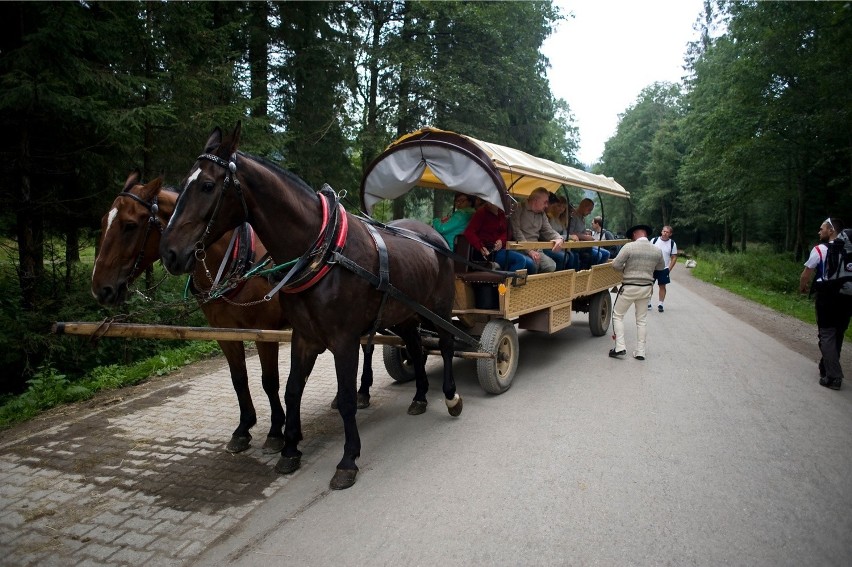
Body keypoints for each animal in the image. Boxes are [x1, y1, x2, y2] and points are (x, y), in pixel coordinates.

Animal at [90, 172, 376, 458]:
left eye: (129, 225)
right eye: (103, 221)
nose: (100, 289)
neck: (235, 257)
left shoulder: (264, 331)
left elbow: (269, 381)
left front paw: (275, 432)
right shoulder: (225, 331)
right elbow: (239, 379)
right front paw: (243, 428)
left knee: (367, 347)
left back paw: (362, 392)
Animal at [160, 124, 466, 492]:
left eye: (207, 185)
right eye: (182, 184)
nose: (169, 253)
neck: (322, 249)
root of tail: (434, 237)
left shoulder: (344, 340)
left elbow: (346, 398)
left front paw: (348, 460)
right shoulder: (304, 337)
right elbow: (291, 390)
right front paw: (289, 448)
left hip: (439, 307)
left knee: (446, 345)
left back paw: (450, 396)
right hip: (405, 314)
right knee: (417, 349)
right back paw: (420, 396)